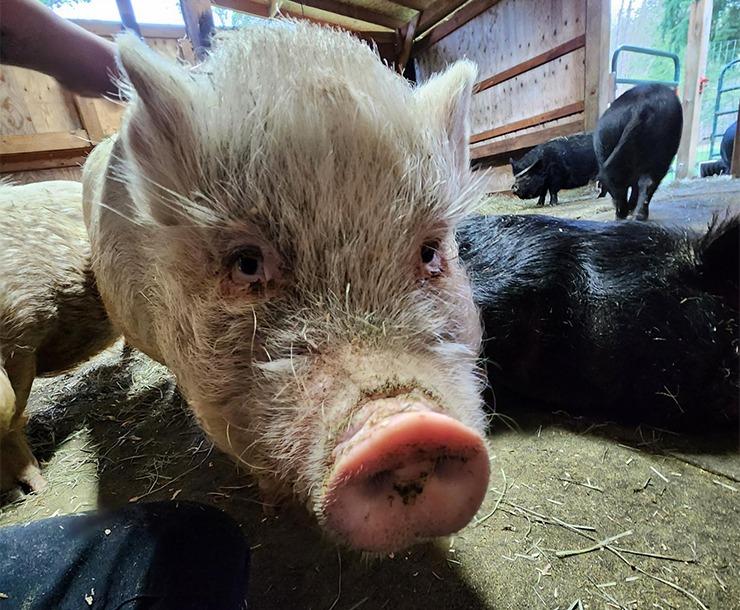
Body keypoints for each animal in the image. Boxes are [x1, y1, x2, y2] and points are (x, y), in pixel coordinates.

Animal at [594, 83, 683, 221]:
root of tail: (643, 106)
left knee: (621, 183)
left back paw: (623, 215)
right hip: (663, 157)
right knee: (648, 182)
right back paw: (638, 215)